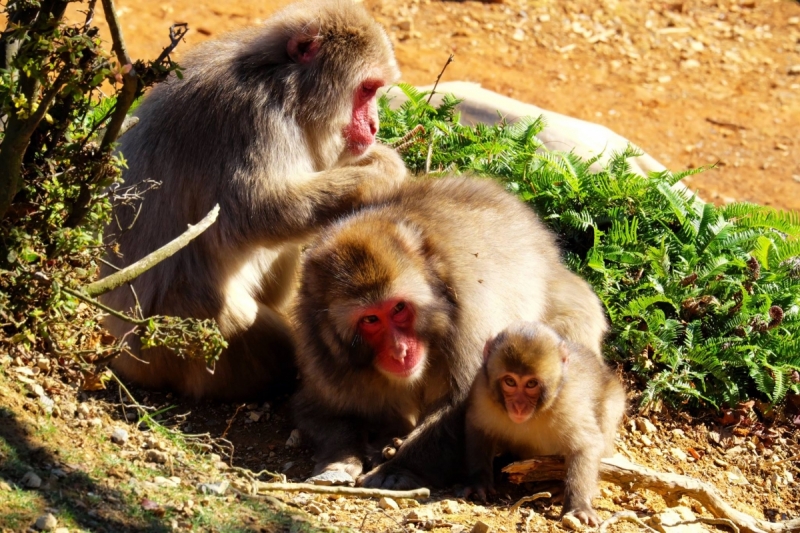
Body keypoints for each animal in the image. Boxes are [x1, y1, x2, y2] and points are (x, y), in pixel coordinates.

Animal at [101, 0, 406, 400]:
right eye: (367, 90)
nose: (373, 126)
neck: (282, 86)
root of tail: (122, 350)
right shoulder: (251, 117)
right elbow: (254, 213)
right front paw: (385, 170)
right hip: (185, 342)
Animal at [290, 175, 608, 486]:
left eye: (399, 308)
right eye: (370, 320)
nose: (400, 350)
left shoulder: (470, 322)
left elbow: (464, 405)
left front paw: (398, 470)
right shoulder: (322, 358)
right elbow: (318, 411)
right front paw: (340, 460)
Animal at [466, 320, 628, 524]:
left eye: (531, 384)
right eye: (510, 381)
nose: (519, 407)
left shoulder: (569, 401)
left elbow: (586, 446)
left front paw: (578, 505)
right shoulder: (482, 389)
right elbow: (479, 430)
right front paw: (479, 482)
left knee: (608, 413)